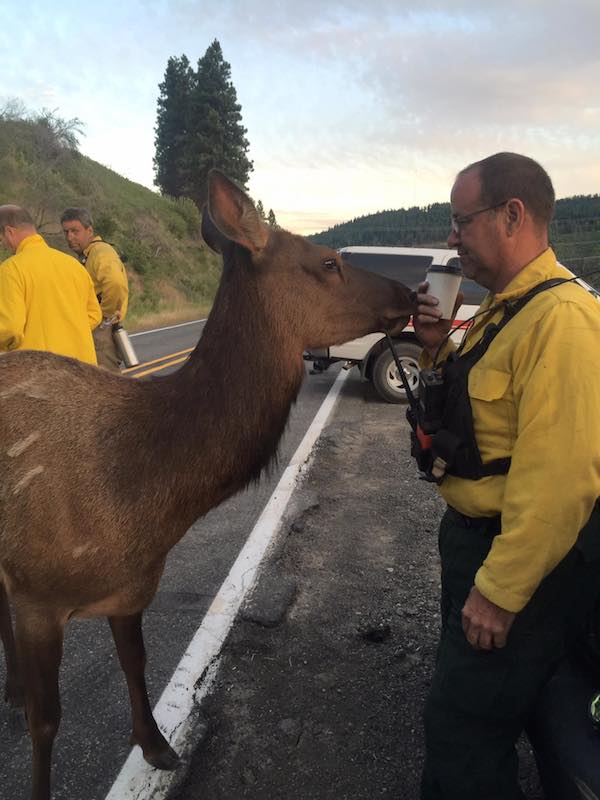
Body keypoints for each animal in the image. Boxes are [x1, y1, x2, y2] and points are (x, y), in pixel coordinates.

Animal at [0, 169, 417, 800]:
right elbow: (46, 724)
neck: (142, 499)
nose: (413, 294)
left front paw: (156, 747)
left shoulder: (132, 587)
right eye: (327, 261)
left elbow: (136, 664)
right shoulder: (36, 595)